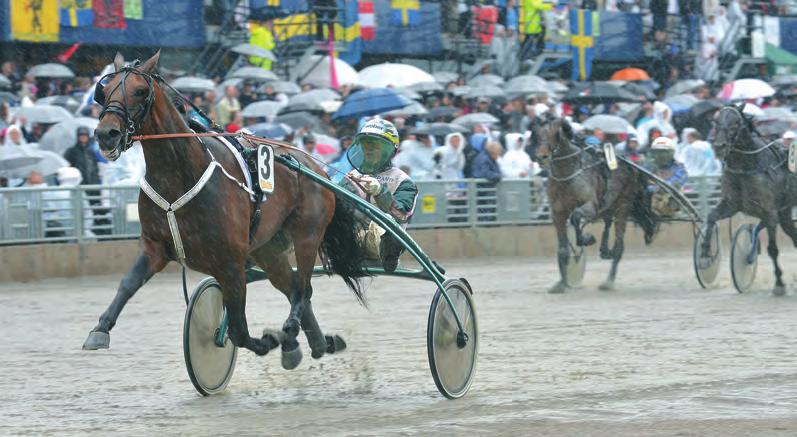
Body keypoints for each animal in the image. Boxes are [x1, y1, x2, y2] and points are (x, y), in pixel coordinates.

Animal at [82, 52, 368, 370]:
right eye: (103, 91)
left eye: (140, 91)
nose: (106, 133)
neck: (180, 175)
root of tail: (313, 166)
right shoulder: (154, 246)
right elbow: (127, 284)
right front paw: (99, 330)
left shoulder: (230, 263)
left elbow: (239, 331)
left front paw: (269, 339)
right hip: (267, 248)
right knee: (292, 285)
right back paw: (315, 343)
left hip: (307, 234)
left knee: (303, 289)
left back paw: (291, 332)